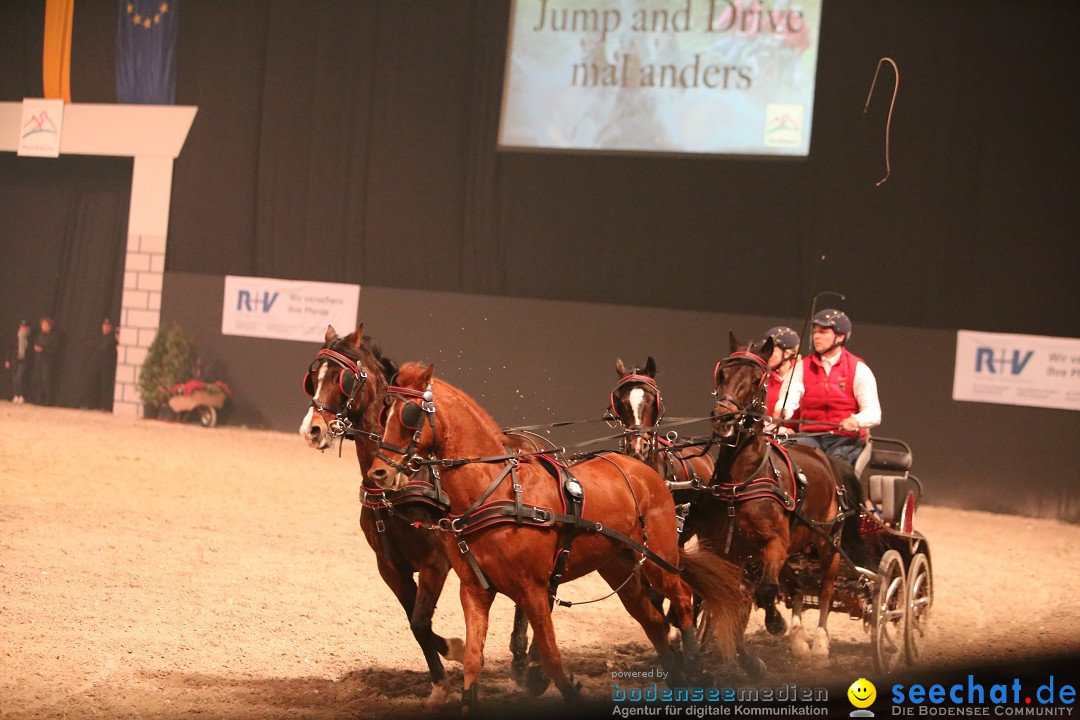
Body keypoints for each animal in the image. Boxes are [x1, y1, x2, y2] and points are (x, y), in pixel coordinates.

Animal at [367, 362, 747, 712]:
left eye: (410, 414)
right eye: (385, 413)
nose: (379, 472)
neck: (495, 490)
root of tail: (642, 469)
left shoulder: (533, 589)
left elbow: (551, 656)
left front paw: (560, 687)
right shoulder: (474, 589)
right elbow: (473, 660)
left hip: (660, 559)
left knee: (681, 597)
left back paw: (695, 670)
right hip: (619, 567)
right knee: (651, 620)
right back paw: (677, 678)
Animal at [708, 334, 868, 669]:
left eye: (757, 380)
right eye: (722, 373)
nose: (723, 418)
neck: (743, 479)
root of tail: (826, 458)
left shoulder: (775, 543)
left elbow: (767, 589)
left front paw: (775, 623)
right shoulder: (732, 551)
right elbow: (741, 594)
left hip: (828, 546)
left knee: (825, 591)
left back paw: (819, 644)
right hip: (796, 547)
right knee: (796, 586)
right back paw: (798, 639)